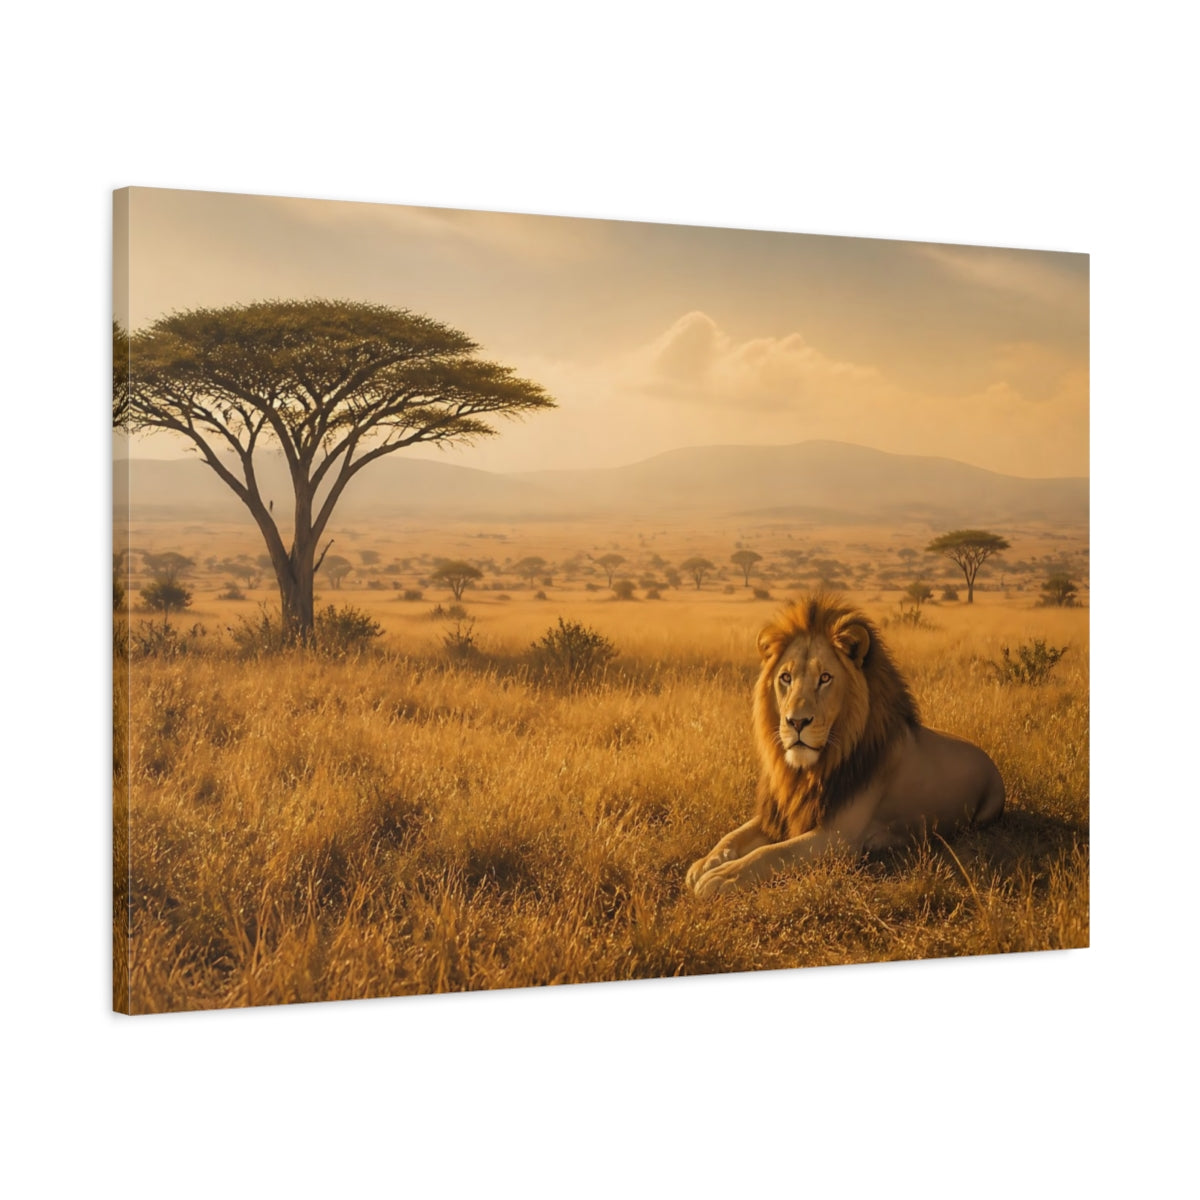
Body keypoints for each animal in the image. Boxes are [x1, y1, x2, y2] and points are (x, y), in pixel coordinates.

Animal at [687, 595, 1004, 898]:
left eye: (825, 678)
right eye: (785, 678)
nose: (796, 722)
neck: (806, 772)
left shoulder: (838, 837)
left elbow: (772, 852)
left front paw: (722, 876)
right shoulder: (781, 813)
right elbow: (734, 834)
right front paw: (706, 863)